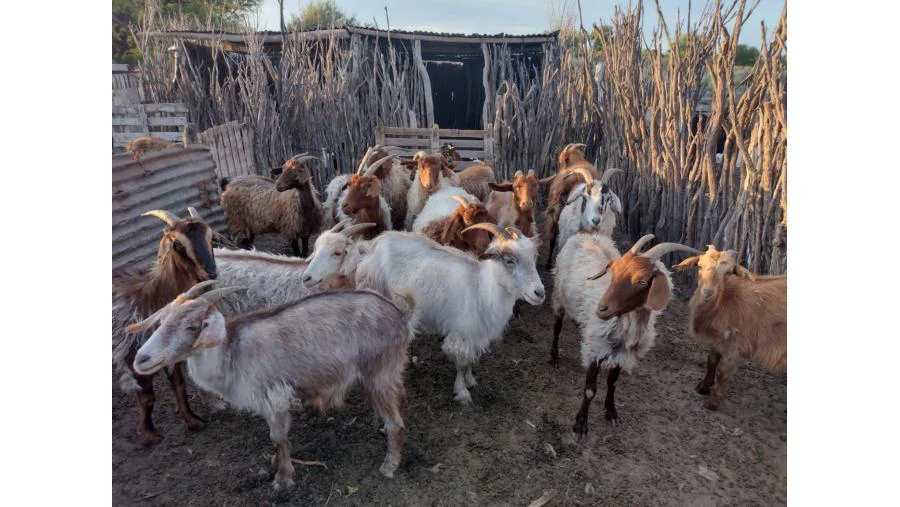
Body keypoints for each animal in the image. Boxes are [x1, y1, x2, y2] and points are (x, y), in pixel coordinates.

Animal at [112, 208, 219, 444]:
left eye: (210, 237)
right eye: (177, 244)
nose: (211, 272)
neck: (153, 297)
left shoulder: (169, 351)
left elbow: (179, 385)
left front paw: (192, 420)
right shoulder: (135, 355)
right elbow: (148, 397)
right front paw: (149, 433)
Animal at [127, 282, 414, 490]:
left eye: (192, 326)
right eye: (160, 322)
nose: (142, 359)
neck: (232, 353)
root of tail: (401, 316)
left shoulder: (273, 396)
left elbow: (277, 437)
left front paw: (283, 478)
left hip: (380, 370)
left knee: (397, 424)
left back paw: (389, 465)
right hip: (384, 373)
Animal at [356, 225, 544, 404]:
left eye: (534, 258)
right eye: (508, 260)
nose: (539, 293)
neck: (481, 289)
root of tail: (376, 242)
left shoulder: (475, 335)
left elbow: (470, 361)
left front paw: (470, 380)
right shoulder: (460, 333)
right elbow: (461, 364)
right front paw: (462, 392)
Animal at [551, 233, 699, 438]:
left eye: (642, 281)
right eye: (613, 272)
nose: (601, 309)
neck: (625, 325)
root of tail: (586, 234)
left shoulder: (622, 353)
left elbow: (613, 382)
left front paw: (611, 412)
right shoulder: (594, 349)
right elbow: (589, 390)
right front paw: (580, 426)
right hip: (559, 295)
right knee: (557, 326)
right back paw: (554, 356)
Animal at [672, 246, 787, 410]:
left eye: (728, 272)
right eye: (699, 266)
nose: (708, 292)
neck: (725, 301)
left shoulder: (736, 344)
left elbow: (723, 372)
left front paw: (713, 402)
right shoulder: (719, 339)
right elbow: (711, 360)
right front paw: (703, 386)